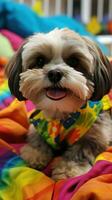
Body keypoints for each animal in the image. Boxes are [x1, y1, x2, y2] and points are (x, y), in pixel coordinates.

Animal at [5, 28, 112, 180]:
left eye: (74, 61)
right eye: (40, 60)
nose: (55, 73)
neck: (61, 115)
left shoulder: (96, 134)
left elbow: (80, 151)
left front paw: (67, 169)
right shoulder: (38, 124)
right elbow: (37, 139)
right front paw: (36, 153)